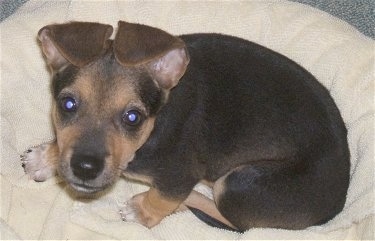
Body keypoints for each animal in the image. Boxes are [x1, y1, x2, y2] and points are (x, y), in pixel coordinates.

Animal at [20, 21, 352, 232]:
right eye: (67, 104)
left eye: (133, 117)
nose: (85, 168)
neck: (154, 128)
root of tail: (338, 202)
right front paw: (46, 157)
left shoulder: (180, 175)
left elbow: (163, 198)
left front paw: (143, 210)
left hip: (238, 183)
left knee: (236, 222)